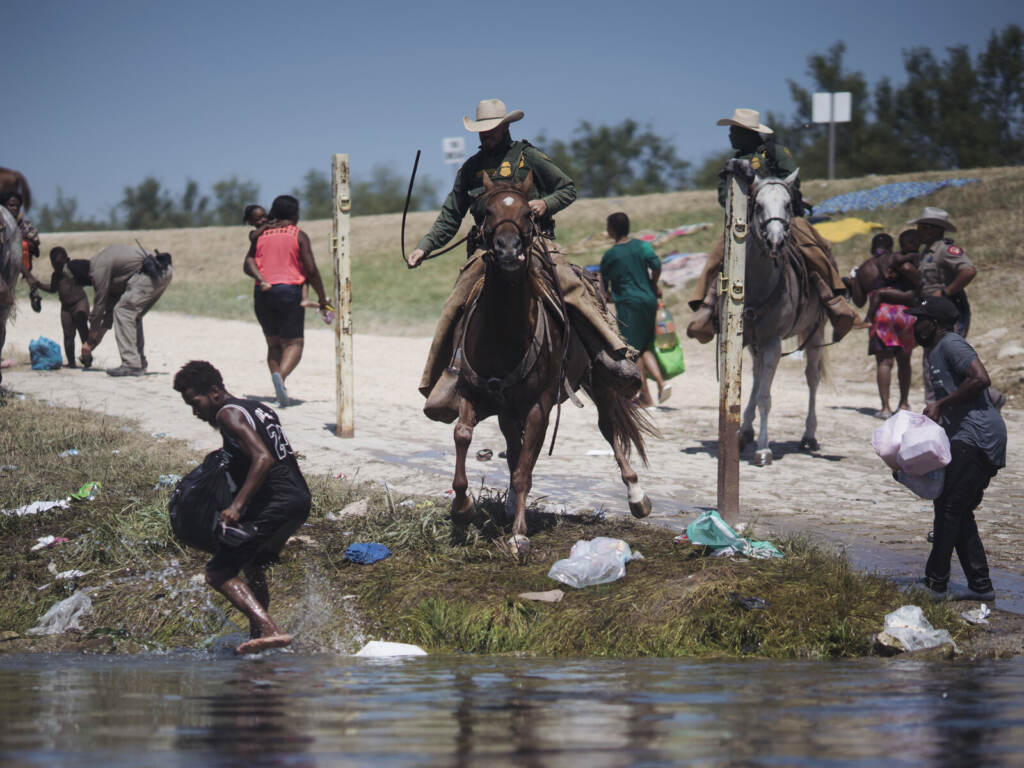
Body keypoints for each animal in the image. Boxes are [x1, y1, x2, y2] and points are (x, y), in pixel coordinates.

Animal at [444, 171, 651, 561]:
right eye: (487, 210)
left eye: (528, 212)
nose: (509, 250)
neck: (504, 335)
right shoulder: (474, 393)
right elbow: (464, 435)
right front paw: (462, 508)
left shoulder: (539, 406)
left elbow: (525, 470)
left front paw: (518, 536)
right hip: (508, 410)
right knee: (513, 448)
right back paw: (510, 504)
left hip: (599, 382)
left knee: (609, 429)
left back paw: (637, 496)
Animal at [737, 171, 823, 466]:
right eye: (758, 205)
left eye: (788, 204)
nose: (775, 241)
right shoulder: (746, 341)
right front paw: (743, 432)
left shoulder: (773, 343)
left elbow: (765, 396)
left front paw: (763, 450)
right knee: (756, 374)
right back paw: (745, 430)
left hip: (815, 334)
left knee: (812, 378)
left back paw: (809, 435)